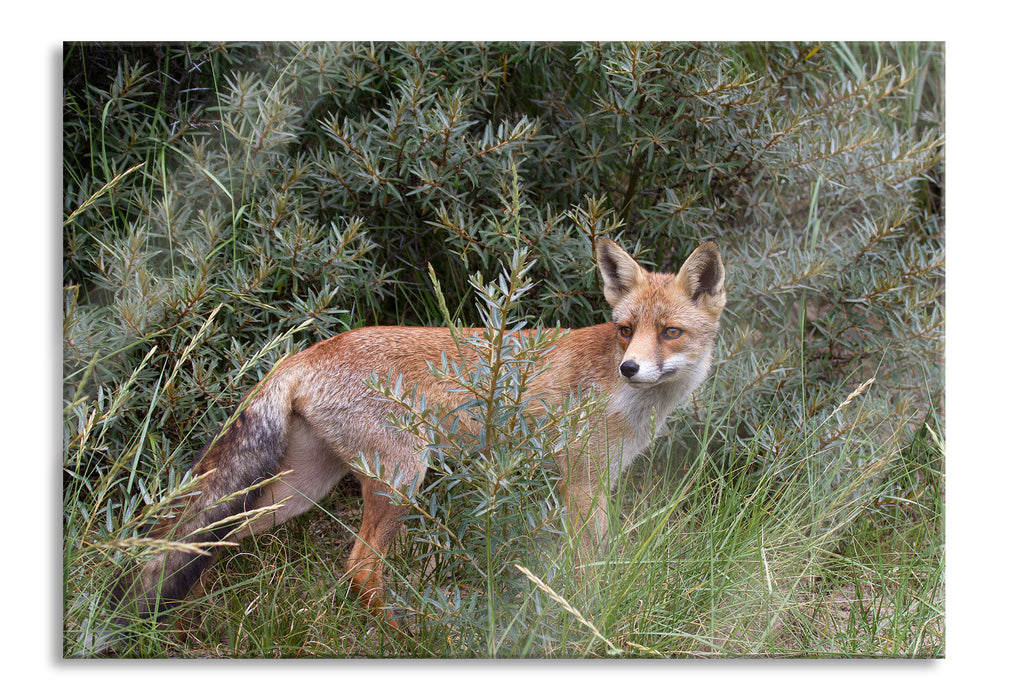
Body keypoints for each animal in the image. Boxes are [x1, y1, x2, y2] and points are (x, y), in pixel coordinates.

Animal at [106, 237, 726, 641]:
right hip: (404, 476)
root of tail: (306, 352)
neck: (624, 399)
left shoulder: (595, 482)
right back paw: (411, 632)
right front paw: (587, 617)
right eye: (625, 329)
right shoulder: (582, 482)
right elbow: (588, 567)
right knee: (358, 568)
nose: (630, 367)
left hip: (299, 491)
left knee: (206, 542)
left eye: (670, 332)